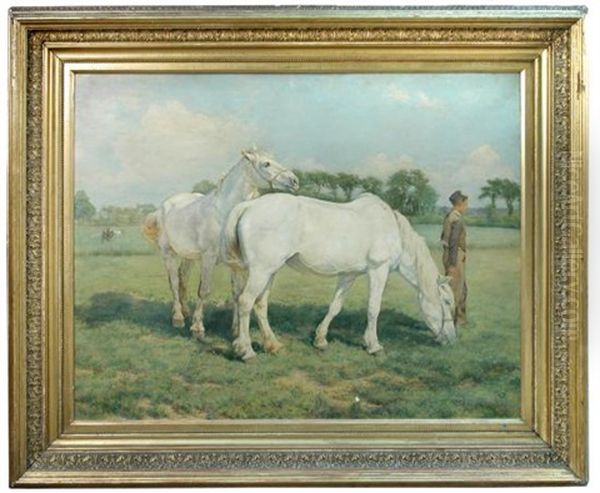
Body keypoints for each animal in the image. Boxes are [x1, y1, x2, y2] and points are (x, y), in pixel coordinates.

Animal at [141, 149, 300, 338]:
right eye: (266, 164)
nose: (295, 181)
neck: (224, 214)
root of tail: (164, 206)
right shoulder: (208, 258)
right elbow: (204, 290)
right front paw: (198, 328)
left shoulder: (235, 263)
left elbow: (237, 293)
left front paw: (236, 329)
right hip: (168, 253)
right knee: (173, 281)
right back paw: (178, 318)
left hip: (189, 257)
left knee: (182, 279)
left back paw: (186, 312)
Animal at [223, 193, 458, 362]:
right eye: (447, 302)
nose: (451, 338)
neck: (392, 230)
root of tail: (249, 206)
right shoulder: (378, 270)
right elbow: (373, 309)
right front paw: (374, 346)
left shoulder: (348, 274)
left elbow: (335, 306)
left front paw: (320, 340)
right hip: (261, 270)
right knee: (245, 302)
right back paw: (246, 351)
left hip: (269, 271)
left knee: (260, 305)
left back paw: (273, 346)